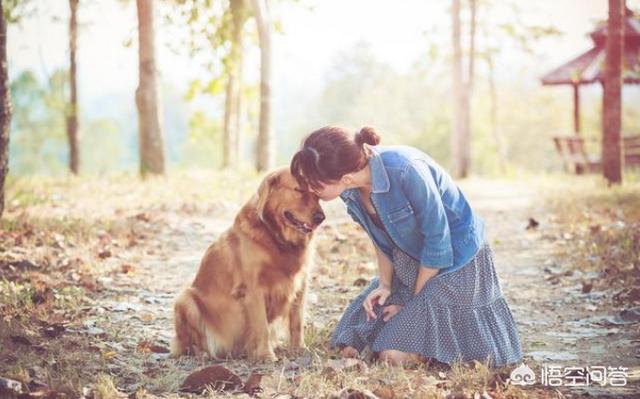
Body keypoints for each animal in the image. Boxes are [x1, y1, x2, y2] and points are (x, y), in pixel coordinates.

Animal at [171, 167, 324, 360]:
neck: (277, 239)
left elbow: (297, 322)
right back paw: (203, 352)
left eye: (317, 194)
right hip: (185, 299)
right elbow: (262, 326)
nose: (321, 217)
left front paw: (299, 349)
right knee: (188, 345)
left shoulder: (301, 284)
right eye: (298, 189)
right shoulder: (254, 289)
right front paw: (266, 355)